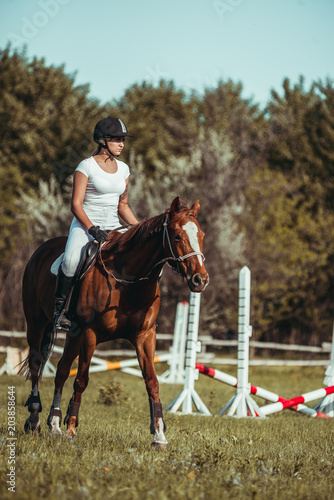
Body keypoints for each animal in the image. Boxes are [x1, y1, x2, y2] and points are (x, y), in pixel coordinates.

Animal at [20, 198, 209, 450]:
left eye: (201, 235)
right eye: (177, 236)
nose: (200, 280)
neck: (127, 280)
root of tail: (40, 251)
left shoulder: (145, 336)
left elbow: (152, 382)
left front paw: (159, 435)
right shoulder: (90, 334)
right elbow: (81, 380)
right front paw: (71, 429)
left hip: (73, 335)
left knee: (61, 371)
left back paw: (55, 424)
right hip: (37, 324)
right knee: (36, 364)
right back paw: (35, 420)